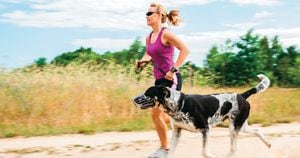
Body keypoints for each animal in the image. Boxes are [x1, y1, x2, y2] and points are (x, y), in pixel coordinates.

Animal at [138, 74, 272, 158]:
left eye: (147, 93)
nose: (134, 99)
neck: (179, 104)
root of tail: (241, 95)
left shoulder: (205, 129)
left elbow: (205, 152)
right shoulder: (177, 132)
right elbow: (170, 152)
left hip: (234, 128)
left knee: (234, 149)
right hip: (241, 126)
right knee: (257, 131)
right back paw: (268, 144)